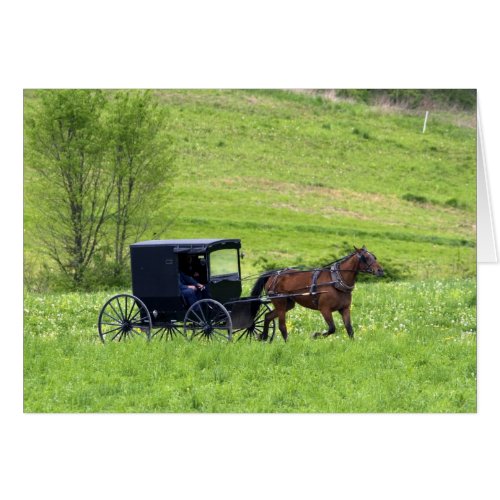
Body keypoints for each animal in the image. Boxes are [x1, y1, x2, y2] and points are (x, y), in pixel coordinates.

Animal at [249, 245, 382, 342]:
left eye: (374, 257)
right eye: (365, 258)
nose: (381, 271)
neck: (336, 281)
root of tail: (274, 274)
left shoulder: (344, 309)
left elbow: (349, 329)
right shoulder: (325, 309)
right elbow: (332, 328)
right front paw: (315, 335)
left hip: (288, 303)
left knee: (268, 316)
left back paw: (264, 337)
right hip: (280, 302)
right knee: (282, 326)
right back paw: (287, 343)